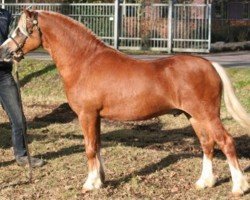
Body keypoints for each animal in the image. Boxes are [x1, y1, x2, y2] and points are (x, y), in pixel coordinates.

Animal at [0, 10, 249, 195]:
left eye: (20, 30)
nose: (4, 50)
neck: (84, 61)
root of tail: (209, 64)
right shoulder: (96, 117)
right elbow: (97, 145)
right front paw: (100, 179)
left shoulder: (87, 115)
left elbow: (89, 148)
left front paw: (90, 184)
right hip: (195, 117)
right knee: (207, 144)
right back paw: (204, 182)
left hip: (207, 115)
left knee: (226, 142)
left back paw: (238, 187)